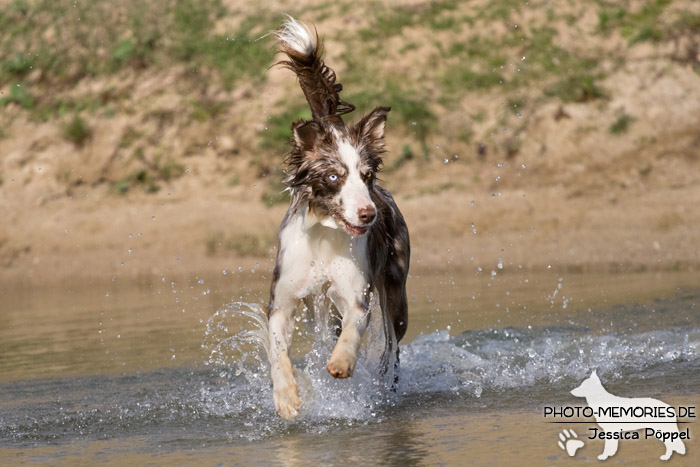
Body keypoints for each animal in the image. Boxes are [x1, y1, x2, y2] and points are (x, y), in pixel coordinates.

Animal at [266, 18, 410, 420]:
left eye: (366, 175)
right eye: (333, 177)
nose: (368, 214)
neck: (324, 237)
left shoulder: (356, 293)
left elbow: (354, 328)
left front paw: (342, 363)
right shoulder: (283, 299)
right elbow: (276, 349)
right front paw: (286, 397)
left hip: (396, 290)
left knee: (393, 345)